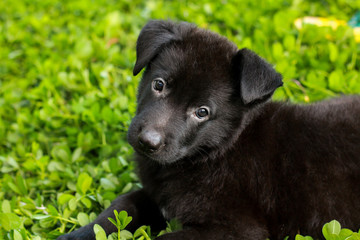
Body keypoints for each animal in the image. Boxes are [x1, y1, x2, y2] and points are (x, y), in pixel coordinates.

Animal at [59, 20, 360, 240]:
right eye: (159, 84)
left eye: (202, 112)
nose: (147, 142)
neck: (214, 153)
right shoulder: (155, 196)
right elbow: (120, 207)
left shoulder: (237, 229)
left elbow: (164, 238)